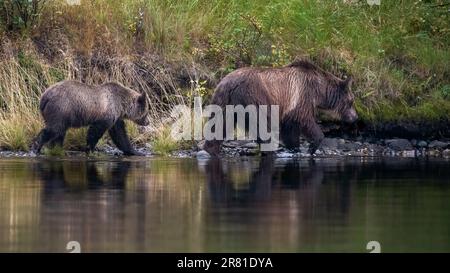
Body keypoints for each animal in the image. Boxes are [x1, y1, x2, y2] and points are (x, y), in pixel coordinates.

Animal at [204, 60, 358, 155]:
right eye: (352, 101)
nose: (355, 117)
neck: (319, 91)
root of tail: (231, 85)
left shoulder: (290, 107)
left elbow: (289, 129)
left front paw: (295, 148)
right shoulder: (302, 97)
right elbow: (306, 120)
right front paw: (313, 145)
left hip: (222, 101)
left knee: (218, 126)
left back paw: (210, 149)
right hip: (254, 99)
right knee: (263, 126)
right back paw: (270, 149)